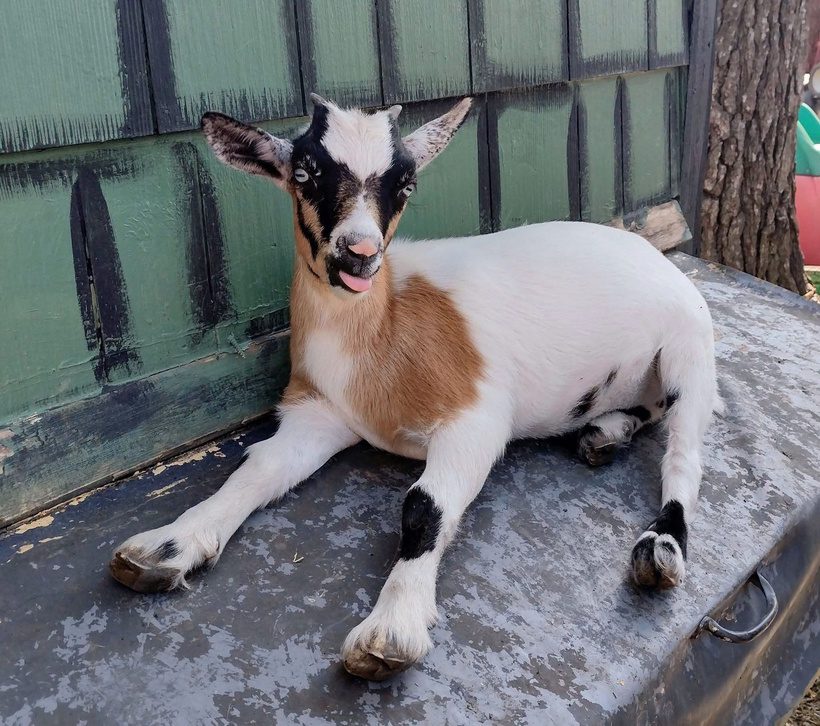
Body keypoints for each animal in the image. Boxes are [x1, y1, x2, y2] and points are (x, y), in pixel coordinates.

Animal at [110, 94, 719, 681]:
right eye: (304, 172)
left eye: (405, 184)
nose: (359, 254)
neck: (385, 327)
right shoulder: (322, 412)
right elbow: (257, 465)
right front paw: (164, 547)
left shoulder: (477, 418)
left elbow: (424, 505)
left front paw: (389, 631)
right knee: (650, 410)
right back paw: (605, 433)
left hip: (690, 348)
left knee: (684, 453)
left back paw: (660, 548)